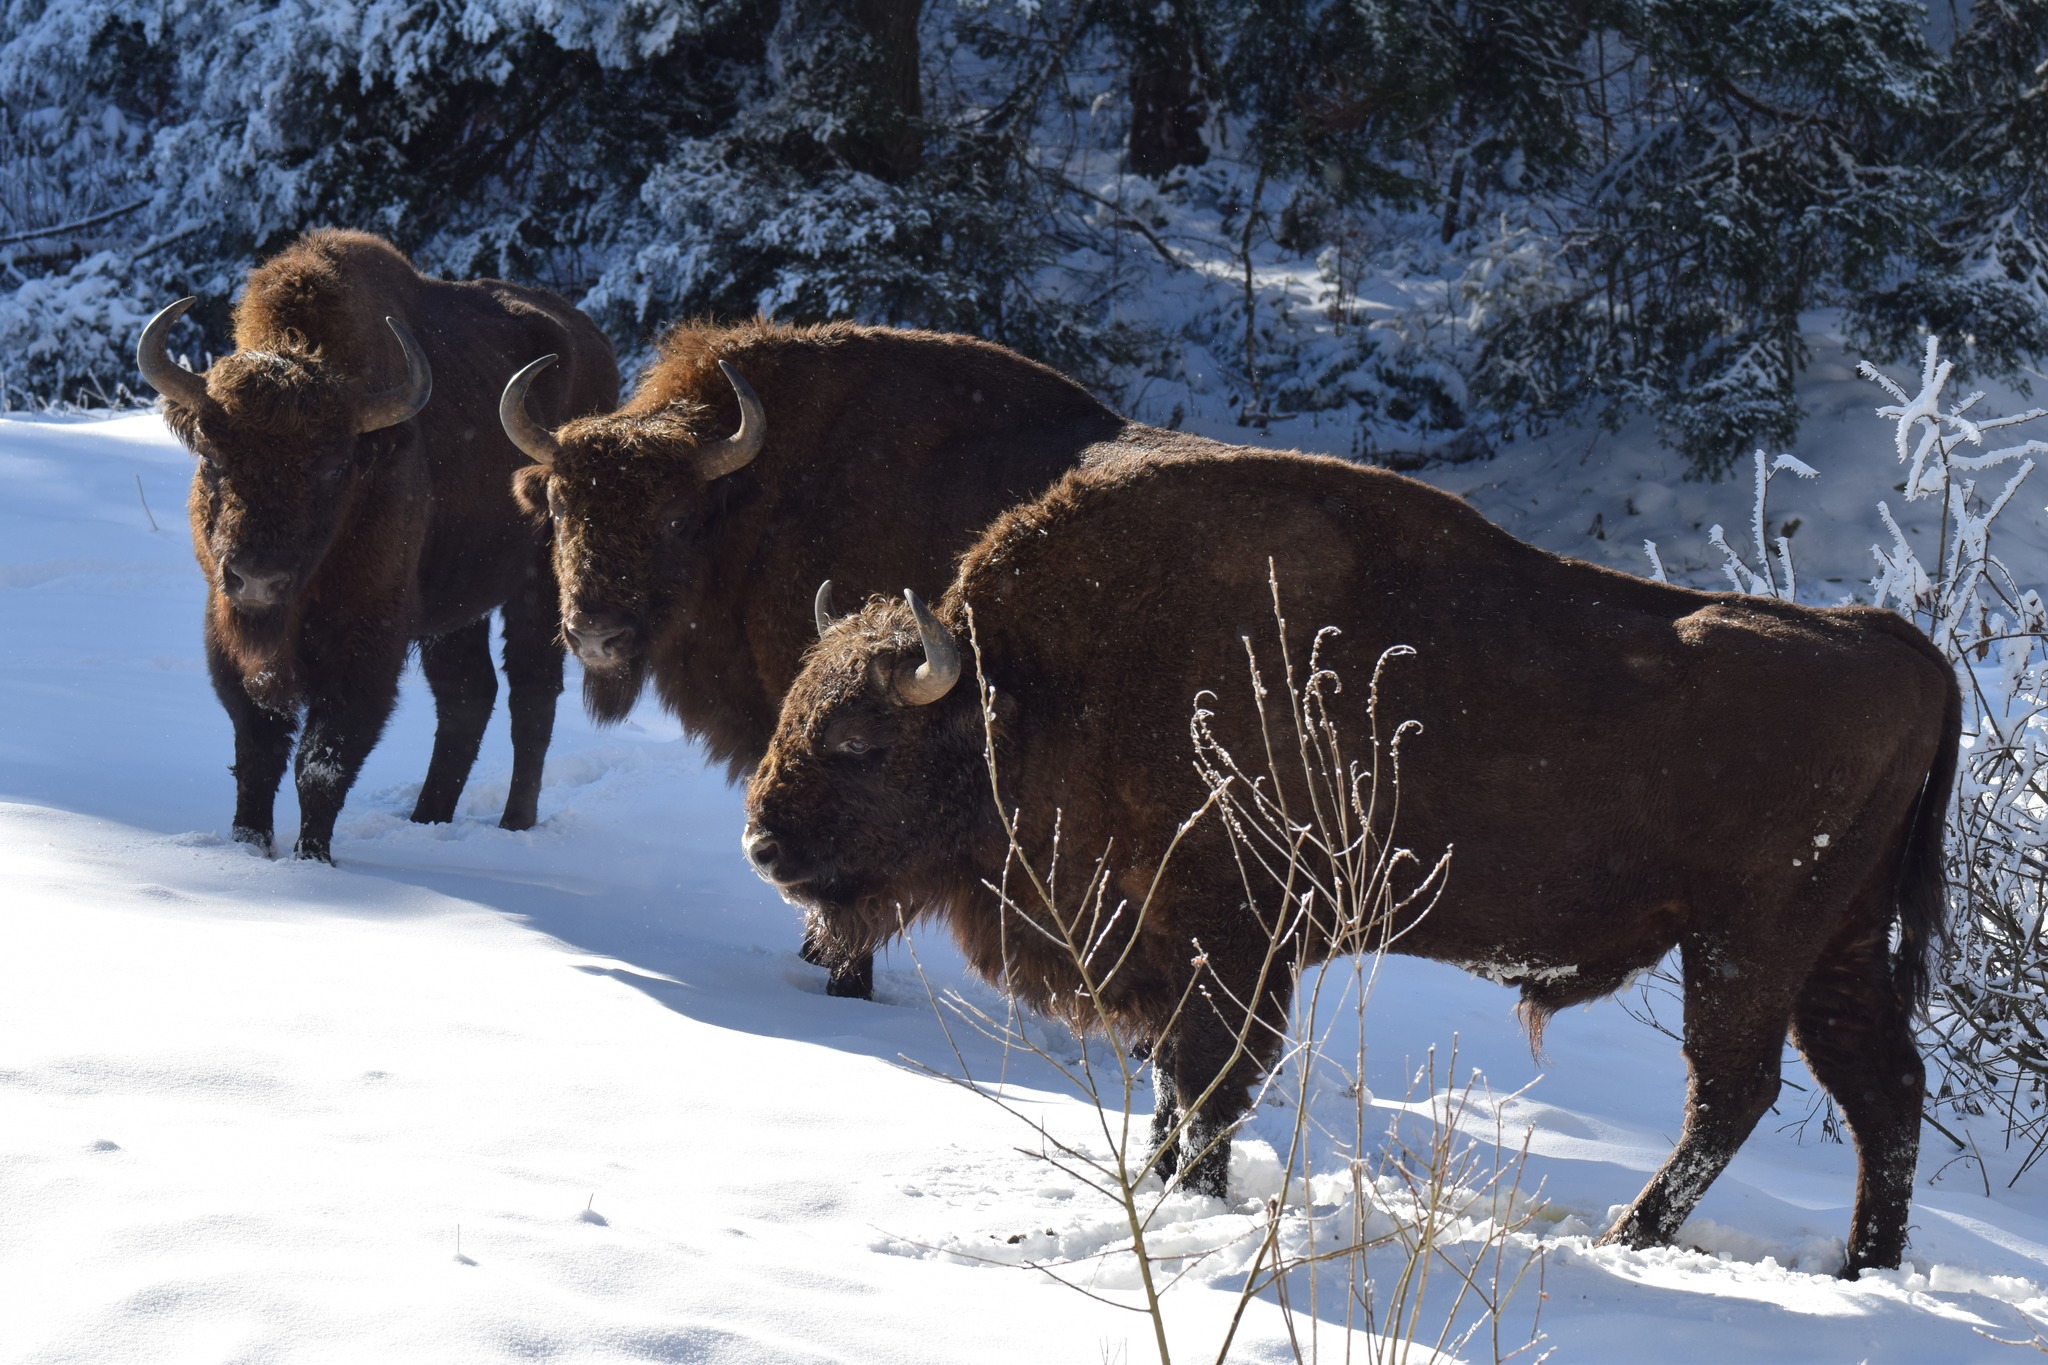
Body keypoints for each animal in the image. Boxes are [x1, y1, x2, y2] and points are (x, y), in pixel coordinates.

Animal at [139, 229, 614, 859]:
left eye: (337, 467)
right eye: (212, 456)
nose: (259, 580)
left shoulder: (367, 637)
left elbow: (322, 761)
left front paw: (311, 859)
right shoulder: (230, 632)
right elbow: (258, 750)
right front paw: (249, 847)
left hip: (542, 587)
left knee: (530, 693)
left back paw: (514, 823)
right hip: (455, 609)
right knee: (469, 694)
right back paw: (428, 819)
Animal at [745, 444, 1957, 1277]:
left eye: (859, 742)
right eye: (795, 708)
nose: (762, 842)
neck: (1034, 686)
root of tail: (1894, 643)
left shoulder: (1231, 953)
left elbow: (1208, 1091)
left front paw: (1190, 1199)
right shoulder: (1173, 960)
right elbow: (1174, 1093)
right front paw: (1164, 1186)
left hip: (1747, 944)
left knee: (1735, 1091)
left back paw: (1632, 1237)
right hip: (1834, 946)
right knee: (1882, 1088)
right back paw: (1861, 1268)